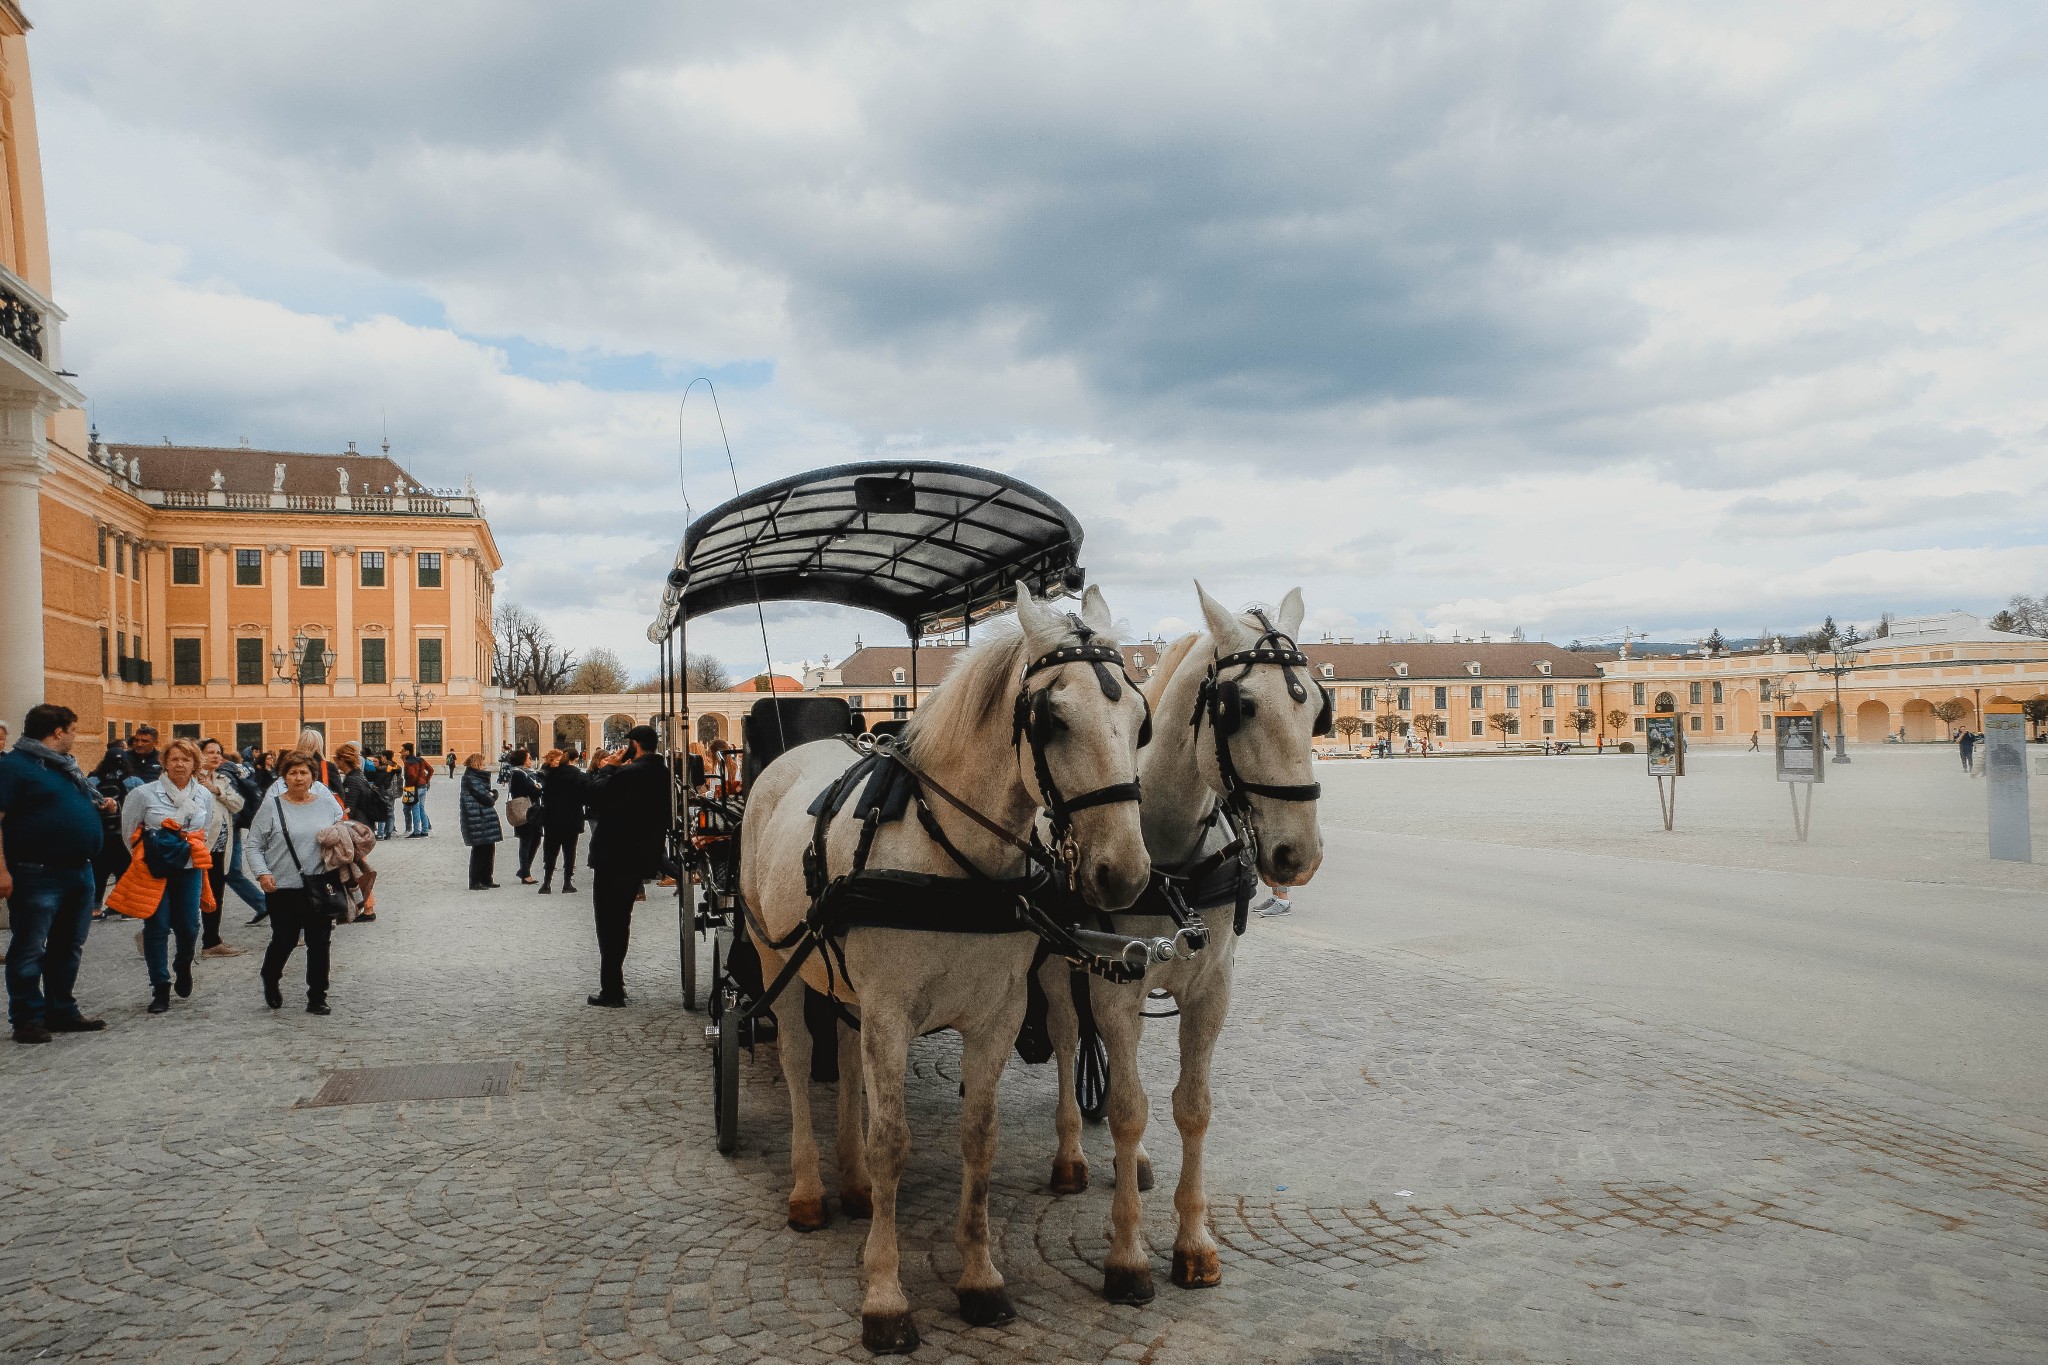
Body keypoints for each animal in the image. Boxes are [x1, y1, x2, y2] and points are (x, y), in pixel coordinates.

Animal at [737, 585, 1155, 1358]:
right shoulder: (892, 1012)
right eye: (1053, 718)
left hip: (844, 983)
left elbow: (978, 1139)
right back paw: (809, 1188)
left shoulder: (994, 1015)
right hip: (777, 956)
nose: (1125, 873)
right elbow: (893, 1142)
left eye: (1140, 722)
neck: (951, 853)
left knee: (844, 1054)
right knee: (799, 1056)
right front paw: (884, 1295)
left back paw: (854, 1185)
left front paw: (980, 1276)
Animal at [1040, 585, 1327, 1301]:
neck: (1165, 853)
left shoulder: (1210, 990)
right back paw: (1070, 1155)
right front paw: (1127, 1257)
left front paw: (1194, 1244)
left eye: (1315, 703)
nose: (1298, 855)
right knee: (1067, 1041)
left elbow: (1189, 1108)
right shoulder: (1110, 986)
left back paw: (1136, 1164)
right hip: (1057, 970)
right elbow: (1127, 1109)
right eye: (1241, 706)